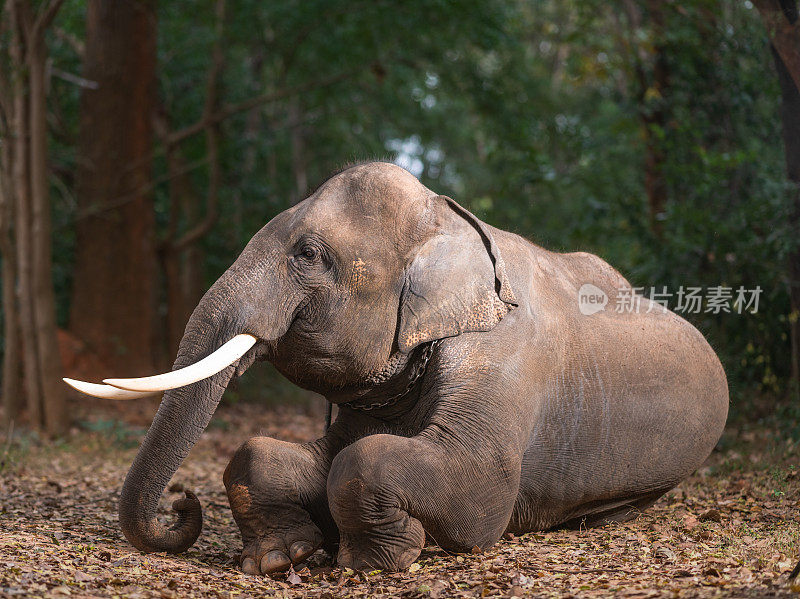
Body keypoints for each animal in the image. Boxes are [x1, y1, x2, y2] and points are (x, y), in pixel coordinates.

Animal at [65, 162, 728, 576]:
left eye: (309, 254)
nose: (181, 507)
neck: (449, 220)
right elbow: (281, 454)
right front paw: (283, 559)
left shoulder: (505, 357)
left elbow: (478, 491)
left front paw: (371, 562)